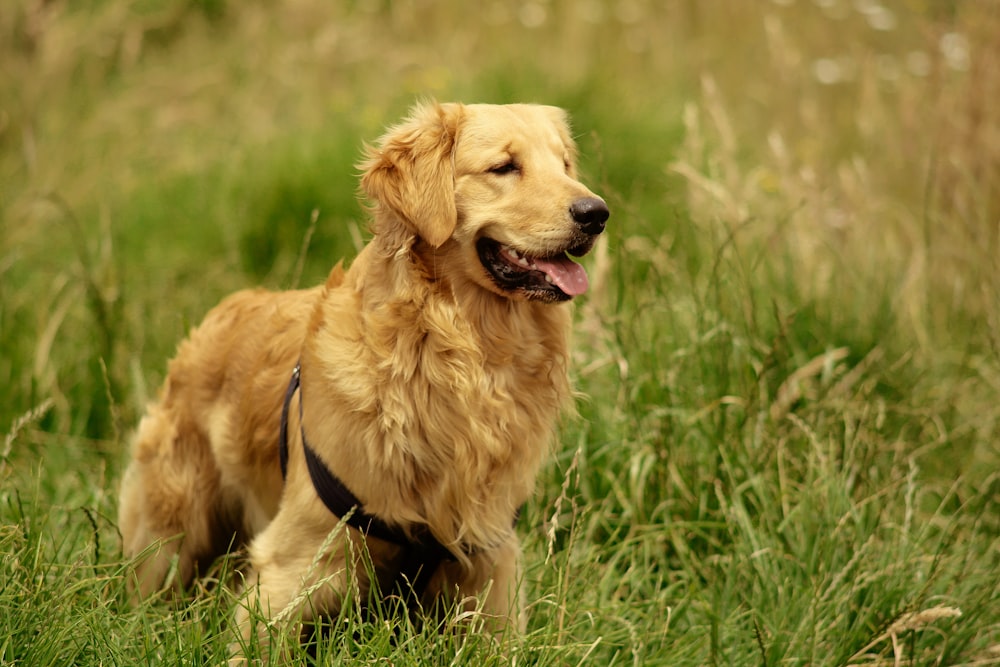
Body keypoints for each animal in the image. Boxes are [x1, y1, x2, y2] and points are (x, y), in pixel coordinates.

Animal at [113, 102, 604, 656]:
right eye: (504, 167)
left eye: (564, 165)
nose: (596, 213)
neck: (453, 356)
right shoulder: (291, 566)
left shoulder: (489, 564)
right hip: (169, 537)